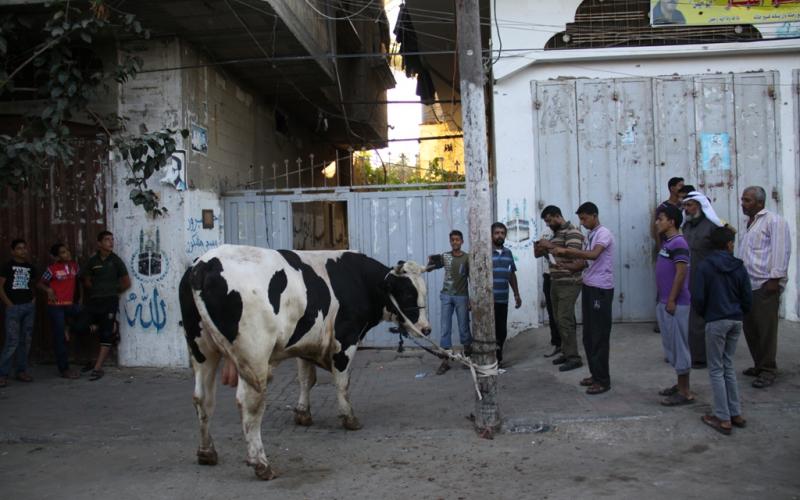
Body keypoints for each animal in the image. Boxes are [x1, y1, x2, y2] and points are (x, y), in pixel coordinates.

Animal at [179, 246, 432, 480]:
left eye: (423, 292)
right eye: (407, 294)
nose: (426, 329)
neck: (358, 279)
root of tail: (204, 264)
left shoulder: (305, 342)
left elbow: (306, 379)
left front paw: (302, 413)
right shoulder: (345, 339)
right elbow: (342, 383)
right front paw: (349, 418)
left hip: (201, 350)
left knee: (202, 398)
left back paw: (207, 452)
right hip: (253, 355)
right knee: (250, 405)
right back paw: (261, 463)